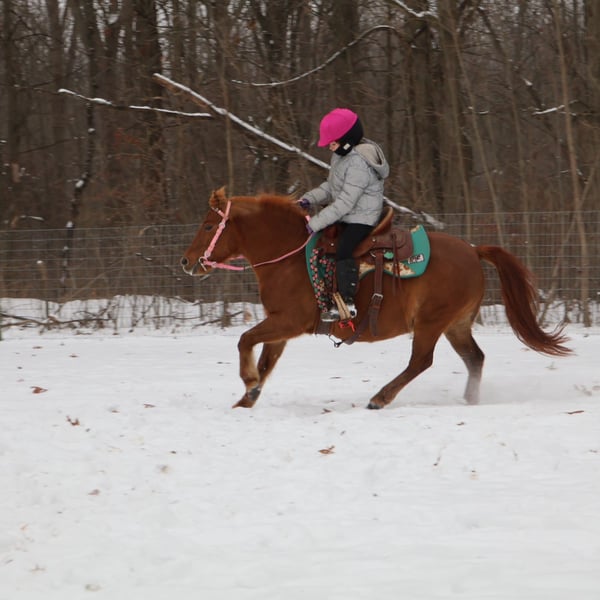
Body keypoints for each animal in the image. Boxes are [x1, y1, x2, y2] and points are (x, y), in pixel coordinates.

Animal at [180, 187, 571, 410]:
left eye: (207, 225)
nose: (186, 261)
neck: (288, 257)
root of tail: (474, 251)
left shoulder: (288, 321)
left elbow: (246, 341)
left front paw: (247, 382)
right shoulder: (281, 327)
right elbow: (265, 360)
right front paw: (247, 398)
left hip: (431, 322)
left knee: (421, 362)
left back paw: (380, 398)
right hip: (456, 324)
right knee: (474, 358)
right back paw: (470, 401)